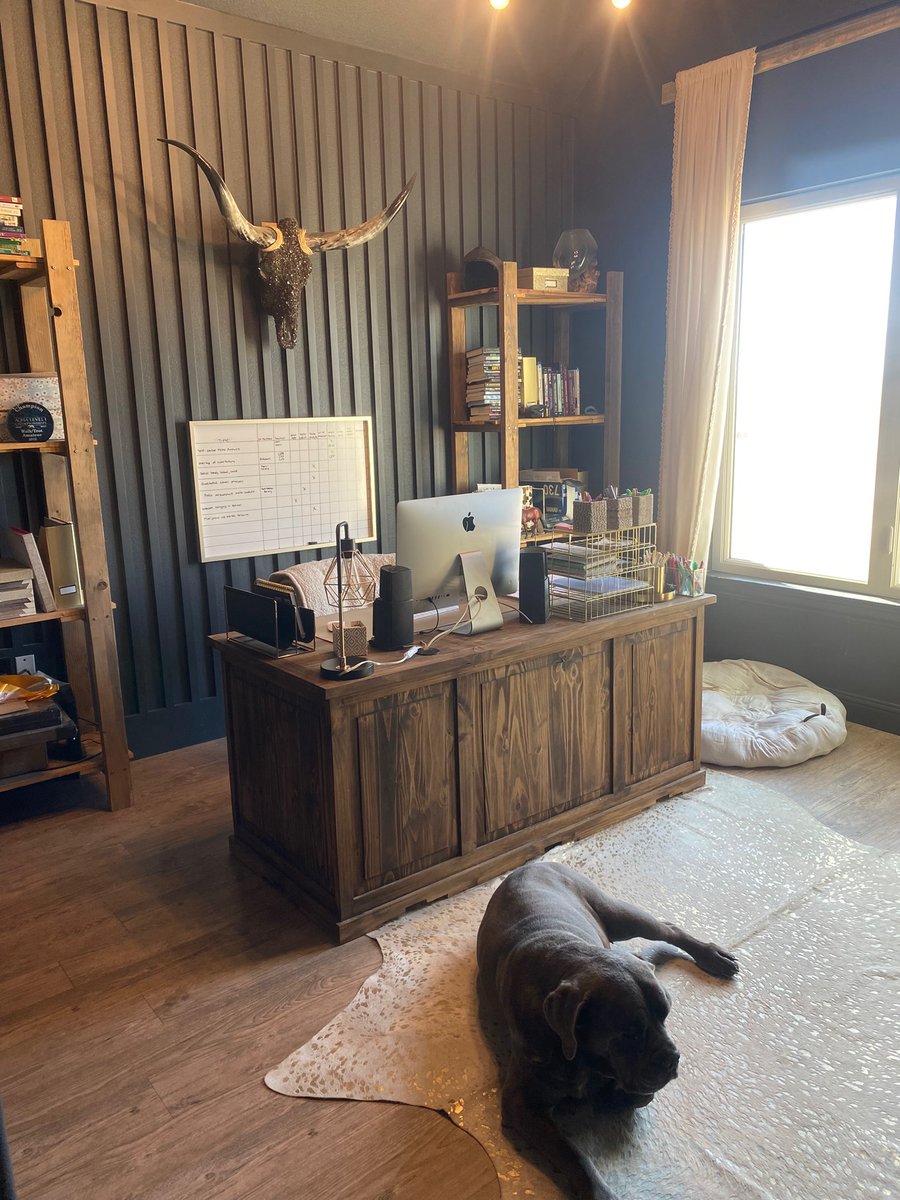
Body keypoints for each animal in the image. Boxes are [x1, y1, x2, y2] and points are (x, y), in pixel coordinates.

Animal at [480, 864, 739, 1200]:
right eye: (628, 1034)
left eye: (666, 1015)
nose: (673, 1060)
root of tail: (532, 864)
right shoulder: (522, 1104)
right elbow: (573, 1154)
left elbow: (639, 1095)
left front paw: (610, 1095)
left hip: (620, 915)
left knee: (668, 929)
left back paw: (713, 957)